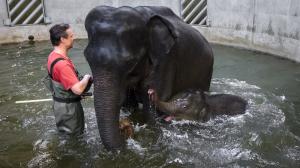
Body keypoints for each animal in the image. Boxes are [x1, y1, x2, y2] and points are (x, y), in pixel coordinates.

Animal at [84, 5, 214, 151]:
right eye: (87, 57)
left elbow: (151, 109)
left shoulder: (165, 61)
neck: (143, 18)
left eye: (130, 61)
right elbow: (130, 104)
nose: (124, 130)